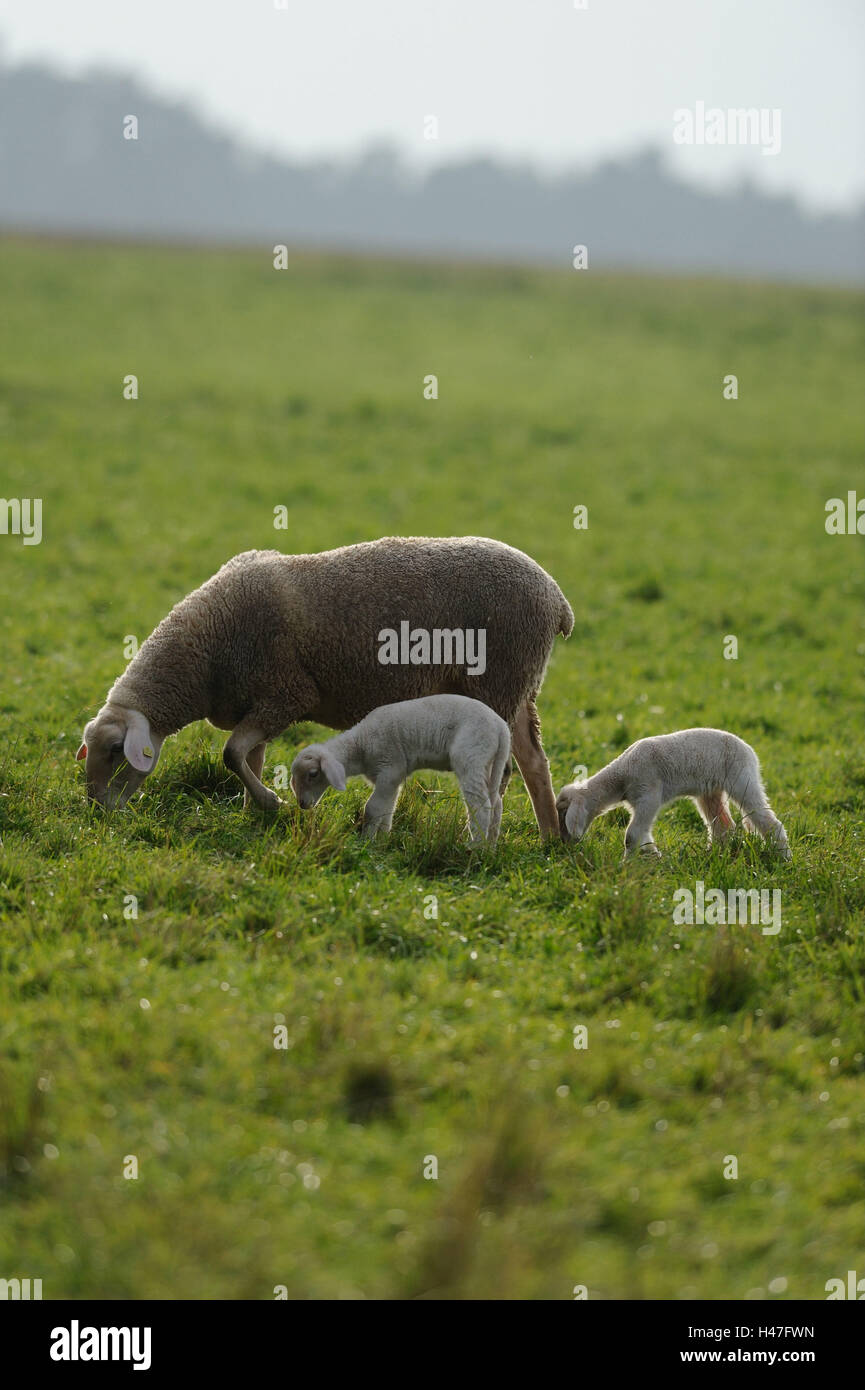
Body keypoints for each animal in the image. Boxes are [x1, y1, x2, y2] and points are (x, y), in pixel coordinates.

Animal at [292, 692, 511, 839]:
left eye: (313, 773)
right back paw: (490, 848)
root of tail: (501, 727)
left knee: (481, 806)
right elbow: (386, 810)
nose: (302, 804)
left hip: (471, 756)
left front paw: (365, 841)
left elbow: (372, 810)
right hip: (490, 762)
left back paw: (474, 848)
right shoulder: (391, 779)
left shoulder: (390, 768)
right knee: (496, 805)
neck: (360, 745)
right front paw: (381, 841)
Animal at [556, 728, 795, 856]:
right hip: (711, 791)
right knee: (723, 826)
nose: (565, 844)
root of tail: (750, 751)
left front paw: (626, 864)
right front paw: (652, 855)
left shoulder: (649, 793)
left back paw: (783, 857)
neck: (622, 775)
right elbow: (642, 834)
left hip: (743, 779)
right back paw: (715, 855)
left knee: (769, 821)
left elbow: (632, 835)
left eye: (565, 813)